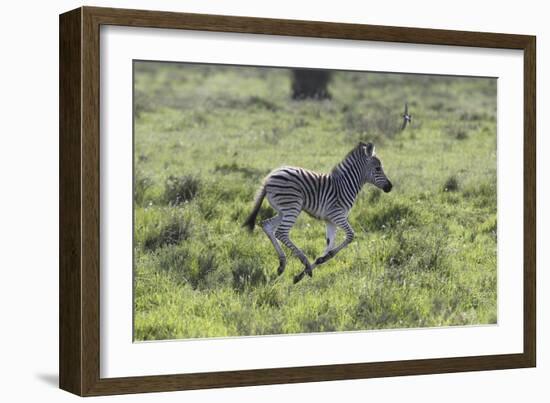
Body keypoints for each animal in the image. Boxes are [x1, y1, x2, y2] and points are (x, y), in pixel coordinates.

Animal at [244, 142, 394, 284]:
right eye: (378, 168)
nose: (390, 187)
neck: (345, 185)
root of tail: (269, 178)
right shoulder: (337, 215)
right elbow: (351, 235)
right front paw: (309, 268)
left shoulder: (330, 221)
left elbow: (329, 247)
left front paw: (304, 272)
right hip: (292, 207)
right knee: (281, 233)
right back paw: (304, 262)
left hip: (283, 210)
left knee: (267, 225)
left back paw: (282, 265)